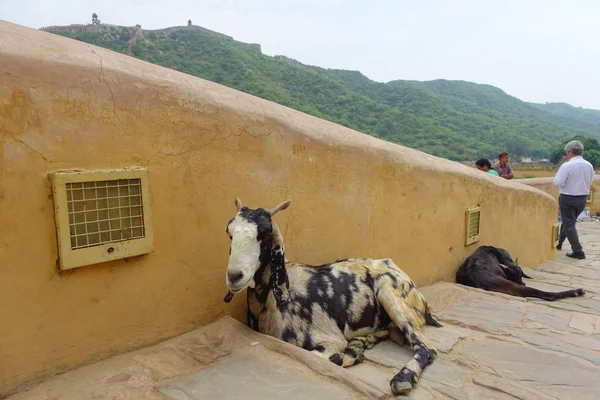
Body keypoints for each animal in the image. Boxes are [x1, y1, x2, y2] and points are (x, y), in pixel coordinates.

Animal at [223, 197, 442, 394]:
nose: (234, 276)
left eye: (265, 234)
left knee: (427, 348)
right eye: (230, 234)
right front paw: (355, 351)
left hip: (390, 294)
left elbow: (318, 356)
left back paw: (401, 378)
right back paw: (362, 343)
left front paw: (348, 355)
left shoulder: (330, 339)